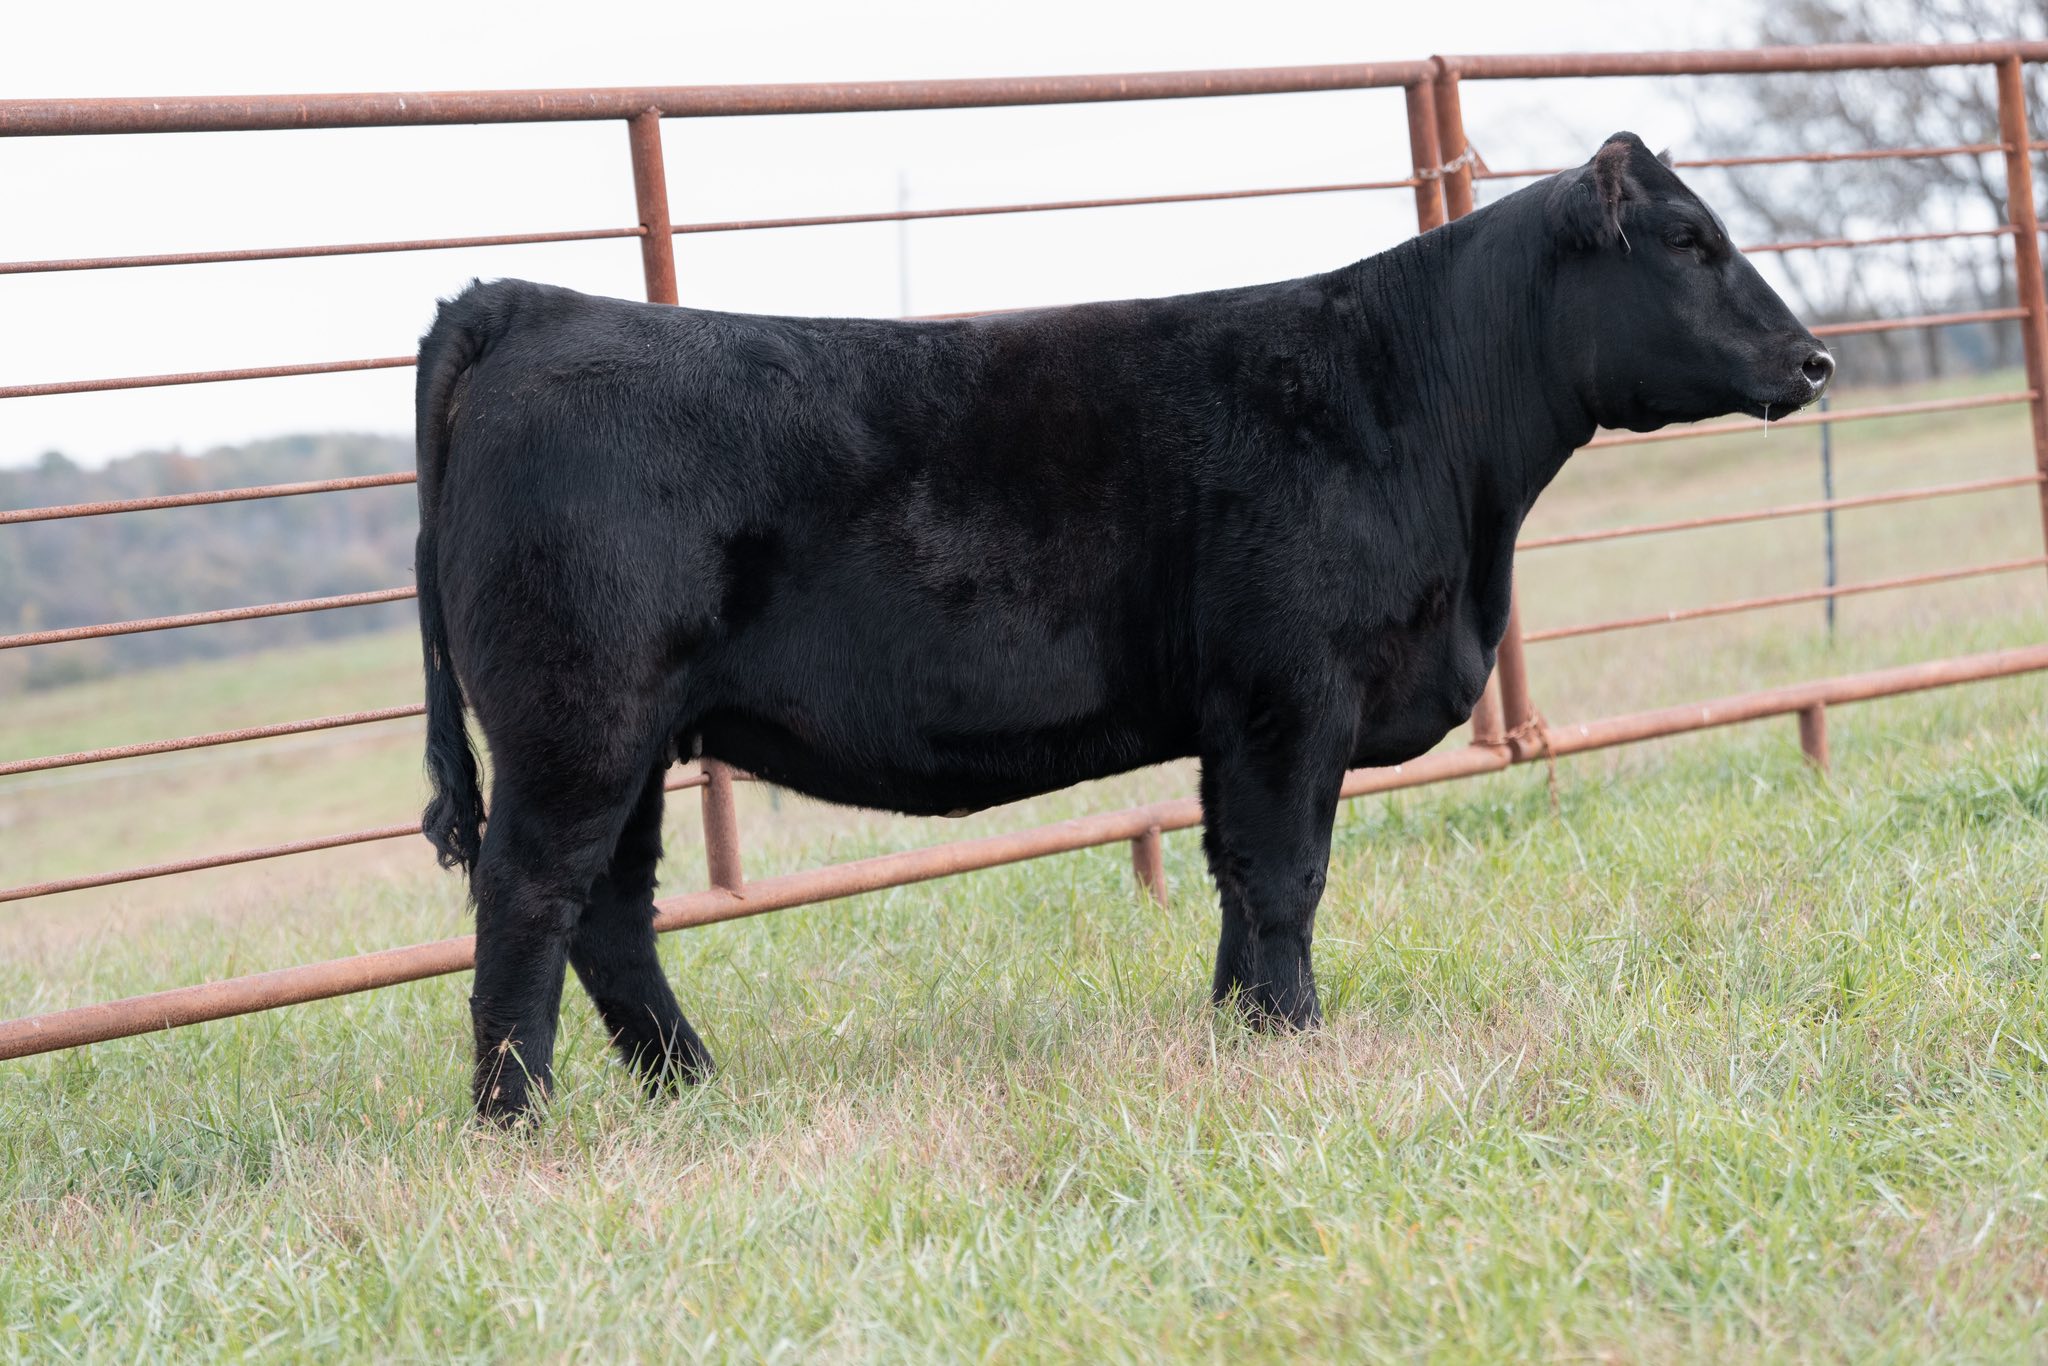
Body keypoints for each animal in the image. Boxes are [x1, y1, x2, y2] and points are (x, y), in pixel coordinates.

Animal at [413, 132, 1832, 1122]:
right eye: (1687, 239)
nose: (1814, 359)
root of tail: (529, 303)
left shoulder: (1236, 714)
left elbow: (1237, 879)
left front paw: (1239, 1035)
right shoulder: (1291, 688)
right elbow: (1287, 871)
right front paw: (1295, 1040)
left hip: (633, 736)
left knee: (612, 914)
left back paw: (691, 1088)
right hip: (579, 721)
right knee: (531, 900)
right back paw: (519, 1124)